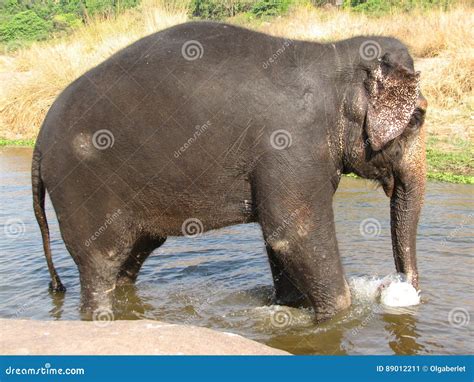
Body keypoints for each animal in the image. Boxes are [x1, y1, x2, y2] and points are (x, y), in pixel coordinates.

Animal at [31, 20, 428, 322]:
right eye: (418, 117)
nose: (396, 288)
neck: (334, 58)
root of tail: (38, 141)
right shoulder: (290, 145)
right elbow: (294, 233)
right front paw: (337, 317)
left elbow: (278, 237)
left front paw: (289, 307)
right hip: (81, 188)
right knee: (101, 261)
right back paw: (99, 316)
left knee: (132, 259)